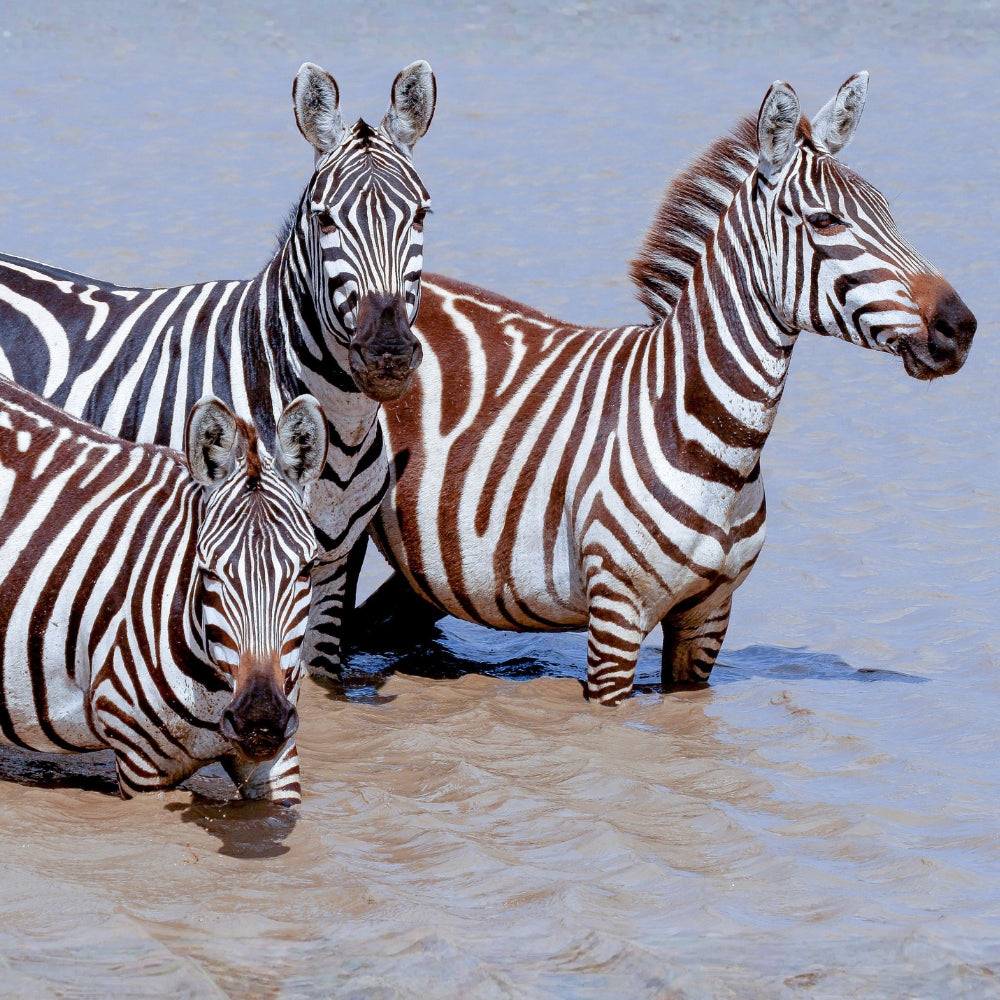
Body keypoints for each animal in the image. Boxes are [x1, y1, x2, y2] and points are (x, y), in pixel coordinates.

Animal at [359, 72, 977, 705]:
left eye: (890, 214)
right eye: (826, 221)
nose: (960, 327)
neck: (714, 441)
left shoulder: (708, 615)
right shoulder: (615, 613)